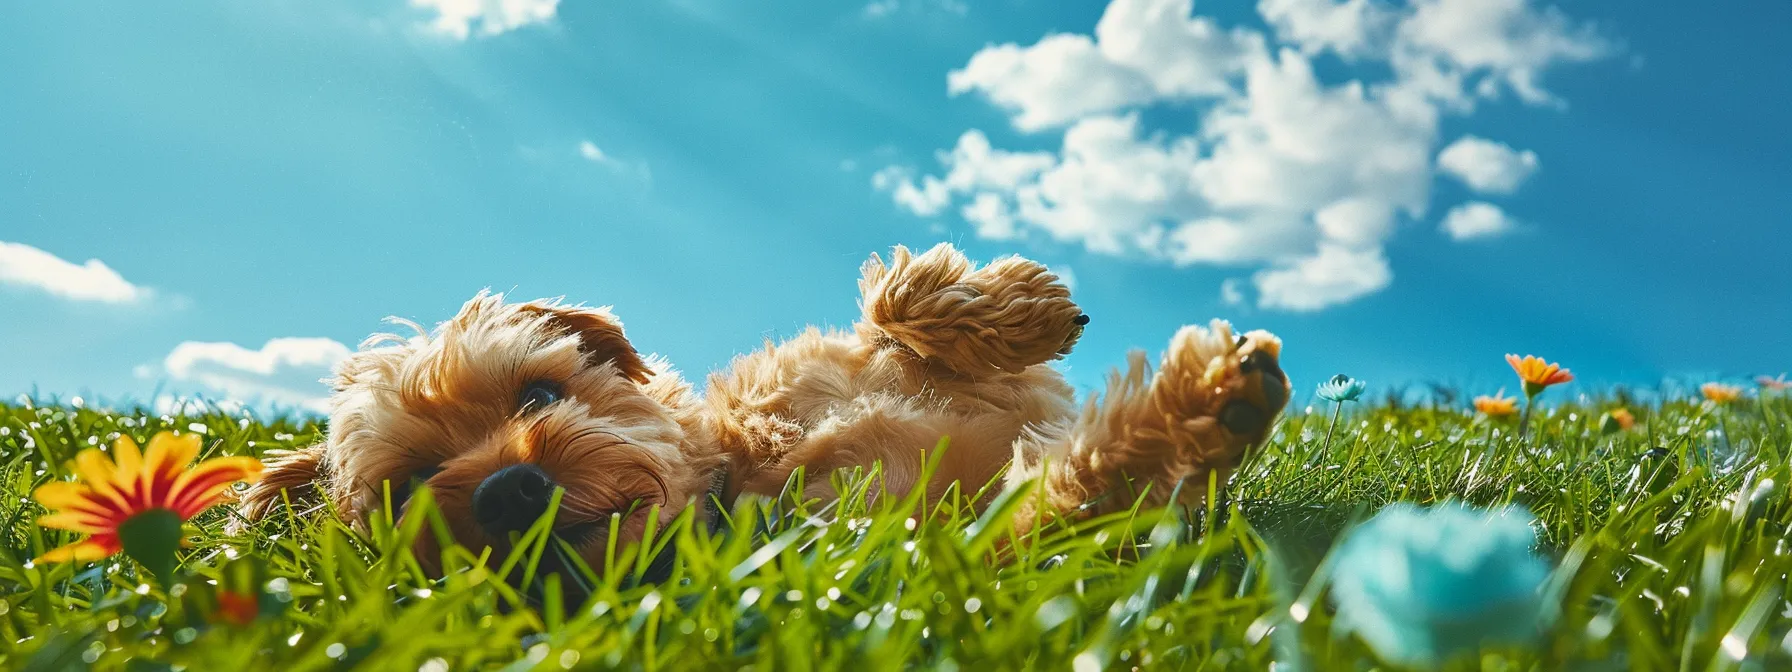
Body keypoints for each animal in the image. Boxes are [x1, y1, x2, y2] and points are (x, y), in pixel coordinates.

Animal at [238, 241, 1290, 580]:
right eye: (411, 488)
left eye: (538, 391)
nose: (507, 491)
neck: (743, 463)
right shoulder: (952, 551)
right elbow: (1075, 491)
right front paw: (1194, 407)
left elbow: (894, 301)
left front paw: (1017, 303)